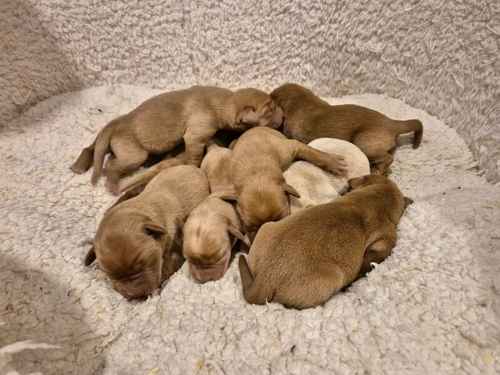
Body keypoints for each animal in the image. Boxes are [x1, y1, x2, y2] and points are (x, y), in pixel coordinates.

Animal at [69, 85, 286, 195]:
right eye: (269, 109)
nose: (284, 116)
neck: (225, 102)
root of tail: (116, 123)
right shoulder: (195, 134)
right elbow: (194, 155)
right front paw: (192, 166)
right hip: (134, 154)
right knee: (111, 166)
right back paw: (113, 186)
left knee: (96, 151)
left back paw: (79, 166)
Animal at [240, 175, 412, 310]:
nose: (347, 184)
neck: (376, 198)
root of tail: (265, 278)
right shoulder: (386, 239)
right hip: (334, 278)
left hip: (266, 227)